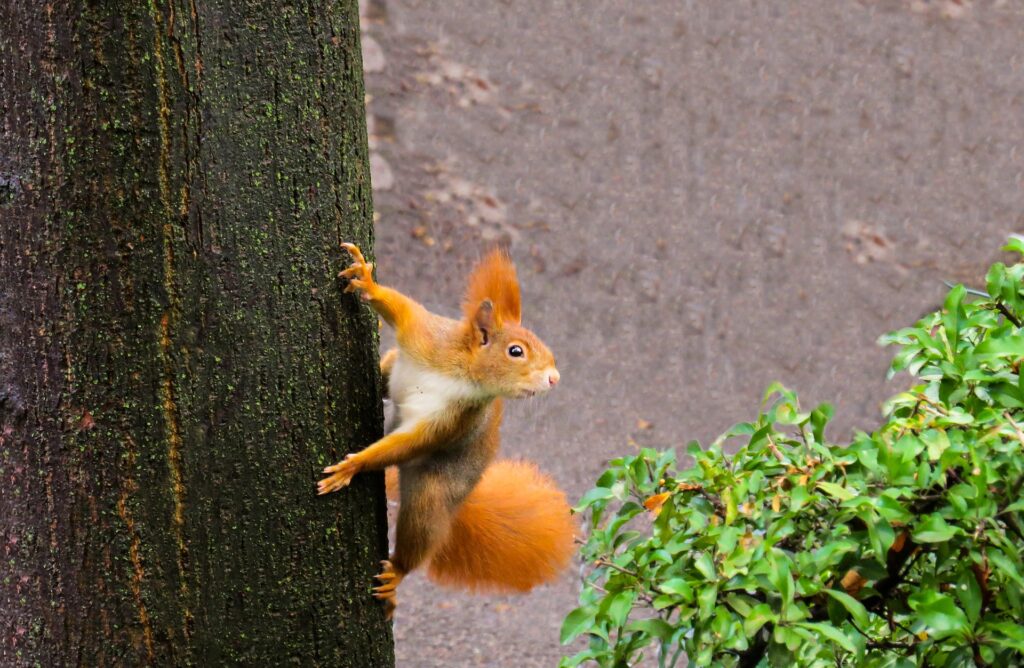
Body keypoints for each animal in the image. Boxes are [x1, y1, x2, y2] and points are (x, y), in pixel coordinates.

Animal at [319, 242, 577, 618]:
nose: (554, 378)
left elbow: (411, 442)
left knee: (418, 537)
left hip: (432, 495)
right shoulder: (426, 337)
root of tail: (464, 497)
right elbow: (403, 309)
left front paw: (353, 465)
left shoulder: (454, 419)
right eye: (515, 351)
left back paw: (396, 574)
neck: (463, 373)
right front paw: (367, 282)